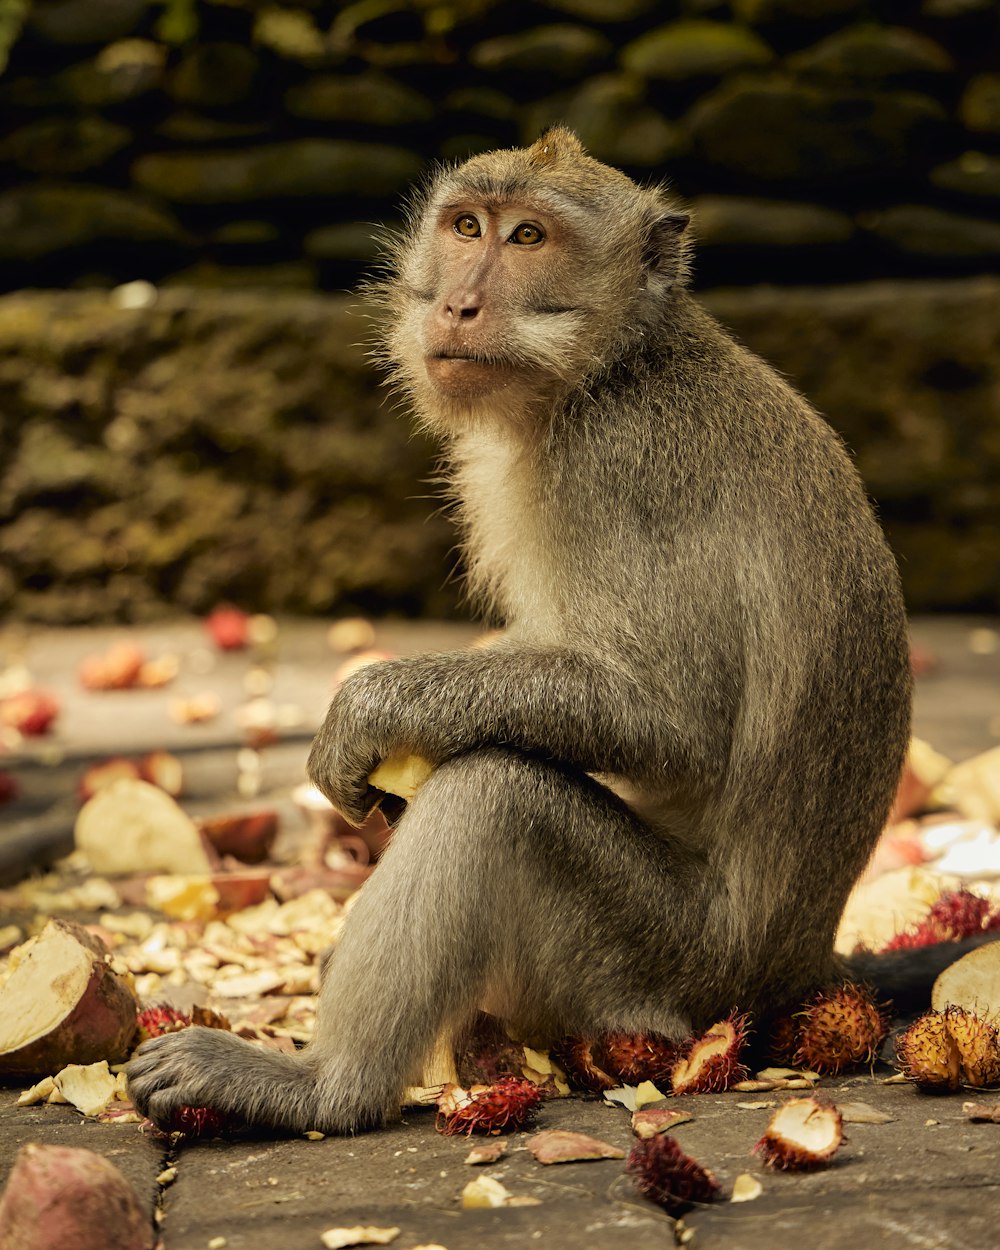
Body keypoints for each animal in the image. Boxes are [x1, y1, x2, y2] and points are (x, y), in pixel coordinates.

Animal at [132, 126, 920, 1135]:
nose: (460, 302)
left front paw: (370, 706)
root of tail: (795, 976)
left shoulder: (618, 468)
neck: (610, 369)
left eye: (529, 239)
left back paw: (323, 1088)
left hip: (655, 967)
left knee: (496, 797)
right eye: (467, 227)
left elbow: (674, 719)